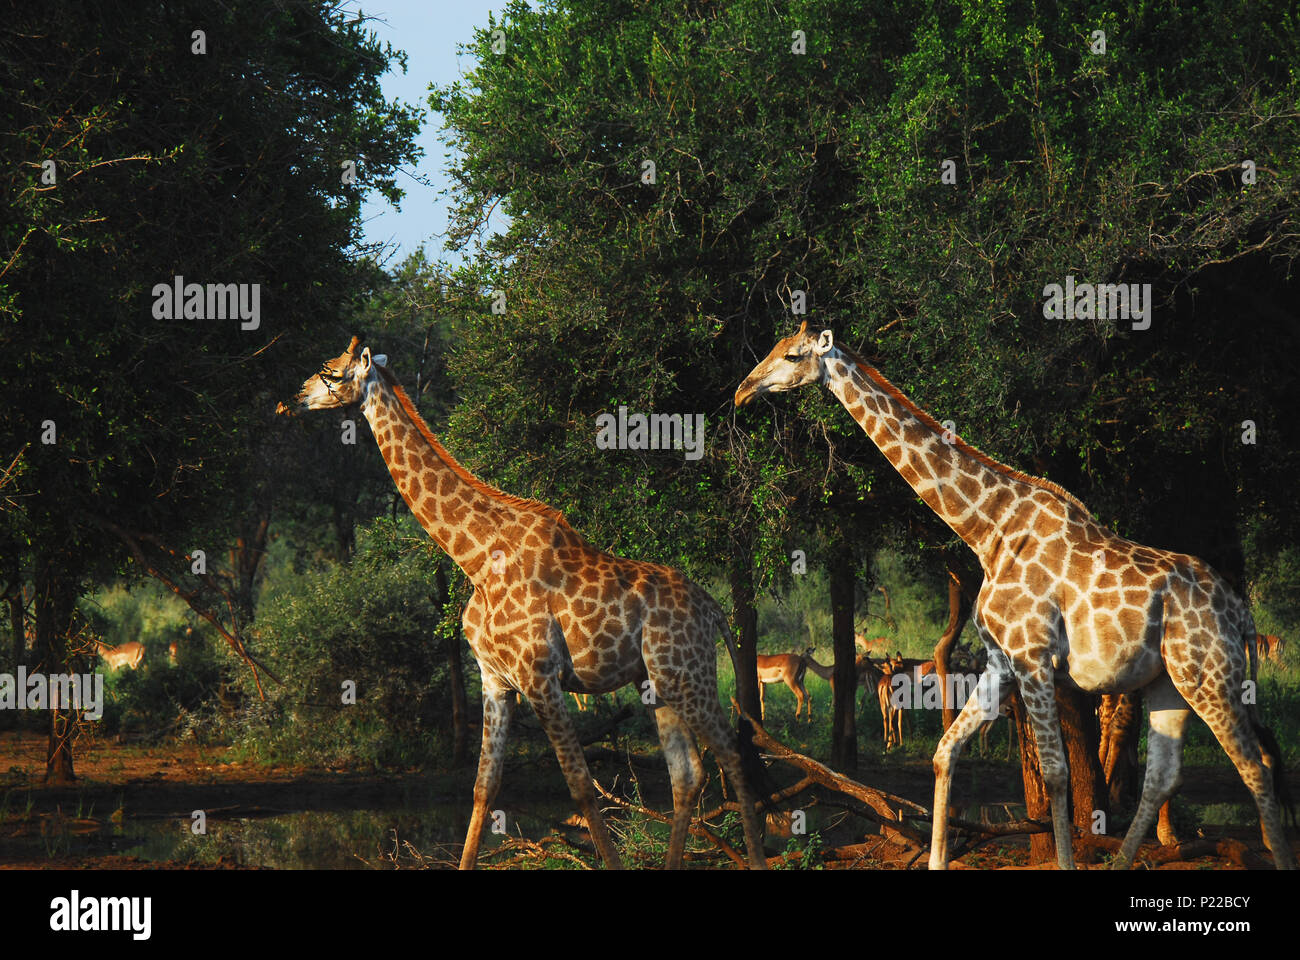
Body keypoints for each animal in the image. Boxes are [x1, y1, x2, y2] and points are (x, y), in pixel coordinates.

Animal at [279, 335, 764, 868]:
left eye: (331, 372)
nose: (293, 398)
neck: (474, 558)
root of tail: (713, 609)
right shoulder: (494, 680)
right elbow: (482, 789)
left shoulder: (540, 677)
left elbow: (582, 788)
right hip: (658, 682)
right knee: (688, 775)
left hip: (688, 675)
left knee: (732, 757)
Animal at [738, 320, 1294, 868]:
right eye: (774, 347)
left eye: (792, 355)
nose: (744, 390)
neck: (988, 531)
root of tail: (1241, 615)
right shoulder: (999, 662)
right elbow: (945, 751)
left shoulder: (1033, 657)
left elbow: (1055, 774)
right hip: (1168, 681)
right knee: (1164, 776)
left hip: (1210, 676)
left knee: (1256, 764)